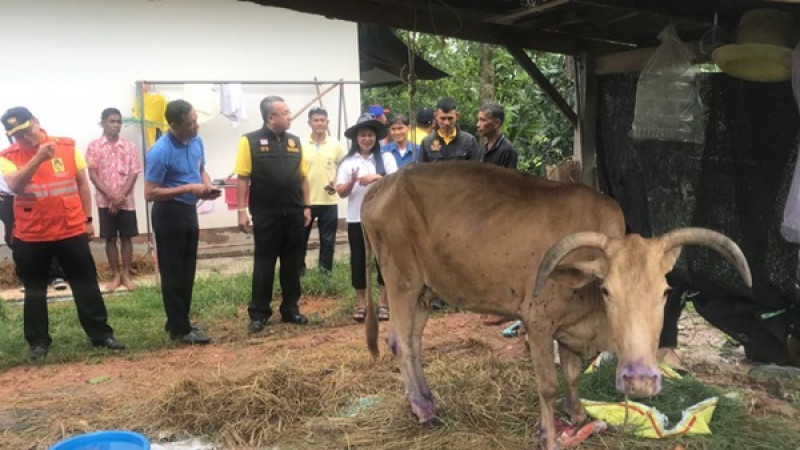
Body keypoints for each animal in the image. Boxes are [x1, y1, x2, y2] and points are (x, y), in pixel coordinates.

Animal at [362, 162, 752, 450]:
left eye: (665, 292)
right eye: (607, 290)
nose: (640, 380)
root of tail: (382, 185)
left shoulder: (569, 331)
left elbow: (572, 374)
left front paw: (578, 416)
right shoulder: (537, 323)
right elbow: (548, 384)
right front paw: (548, 435)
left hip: (425, 292)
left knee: (411, 342)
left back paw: (428, 400)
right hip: (402, 282)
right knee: (400, 343)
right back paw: (422, 411)